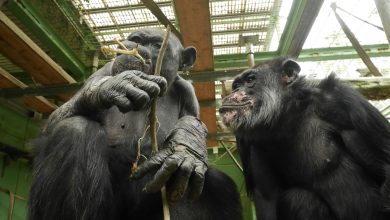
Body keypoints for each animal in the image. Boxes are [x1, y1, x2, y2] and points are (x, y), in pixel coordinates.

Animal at [28, 27, 241, 220]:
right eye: (136, 39)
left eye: (157, 45)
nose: (137, 47)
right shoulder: (103, 71)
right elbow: (52, 122)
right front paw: (117, 85)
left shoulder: (188, 92)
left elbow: (192, 121)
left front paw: (187, 145)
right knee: (74, 130)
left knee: (218, 184)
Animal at [221, 57, 390, 220]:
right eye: (236, 86)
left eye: (250, 79)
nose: (234, 93)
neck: (286, 117)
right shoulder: (248, 144)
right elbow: (267, 200)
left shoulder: (344, 100)